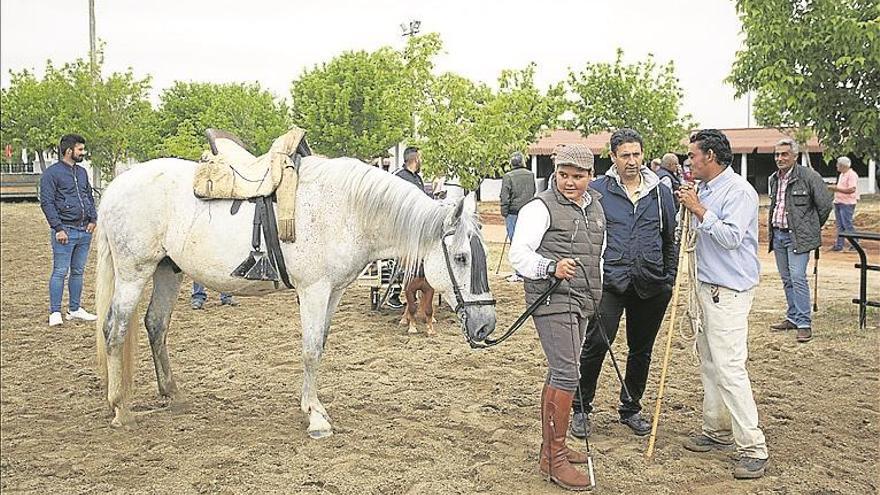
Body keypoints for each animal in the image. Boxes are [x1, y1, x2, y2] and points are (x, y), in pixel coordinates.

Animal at [98, 157, 496, 440]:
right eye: (462, 257)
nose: (486, 325)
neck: (346, 211)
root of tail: (116, 185)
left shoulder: (333, 292)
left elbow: (319, 345)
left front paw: (312, 405)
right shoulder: (314, 290)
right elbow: (310, 351)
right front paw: (316, 418)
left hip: (167, 271)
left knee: (156, 325)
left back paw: (172, 394)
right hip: (134, 272)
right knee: (115, 330)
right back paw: (120, 408)